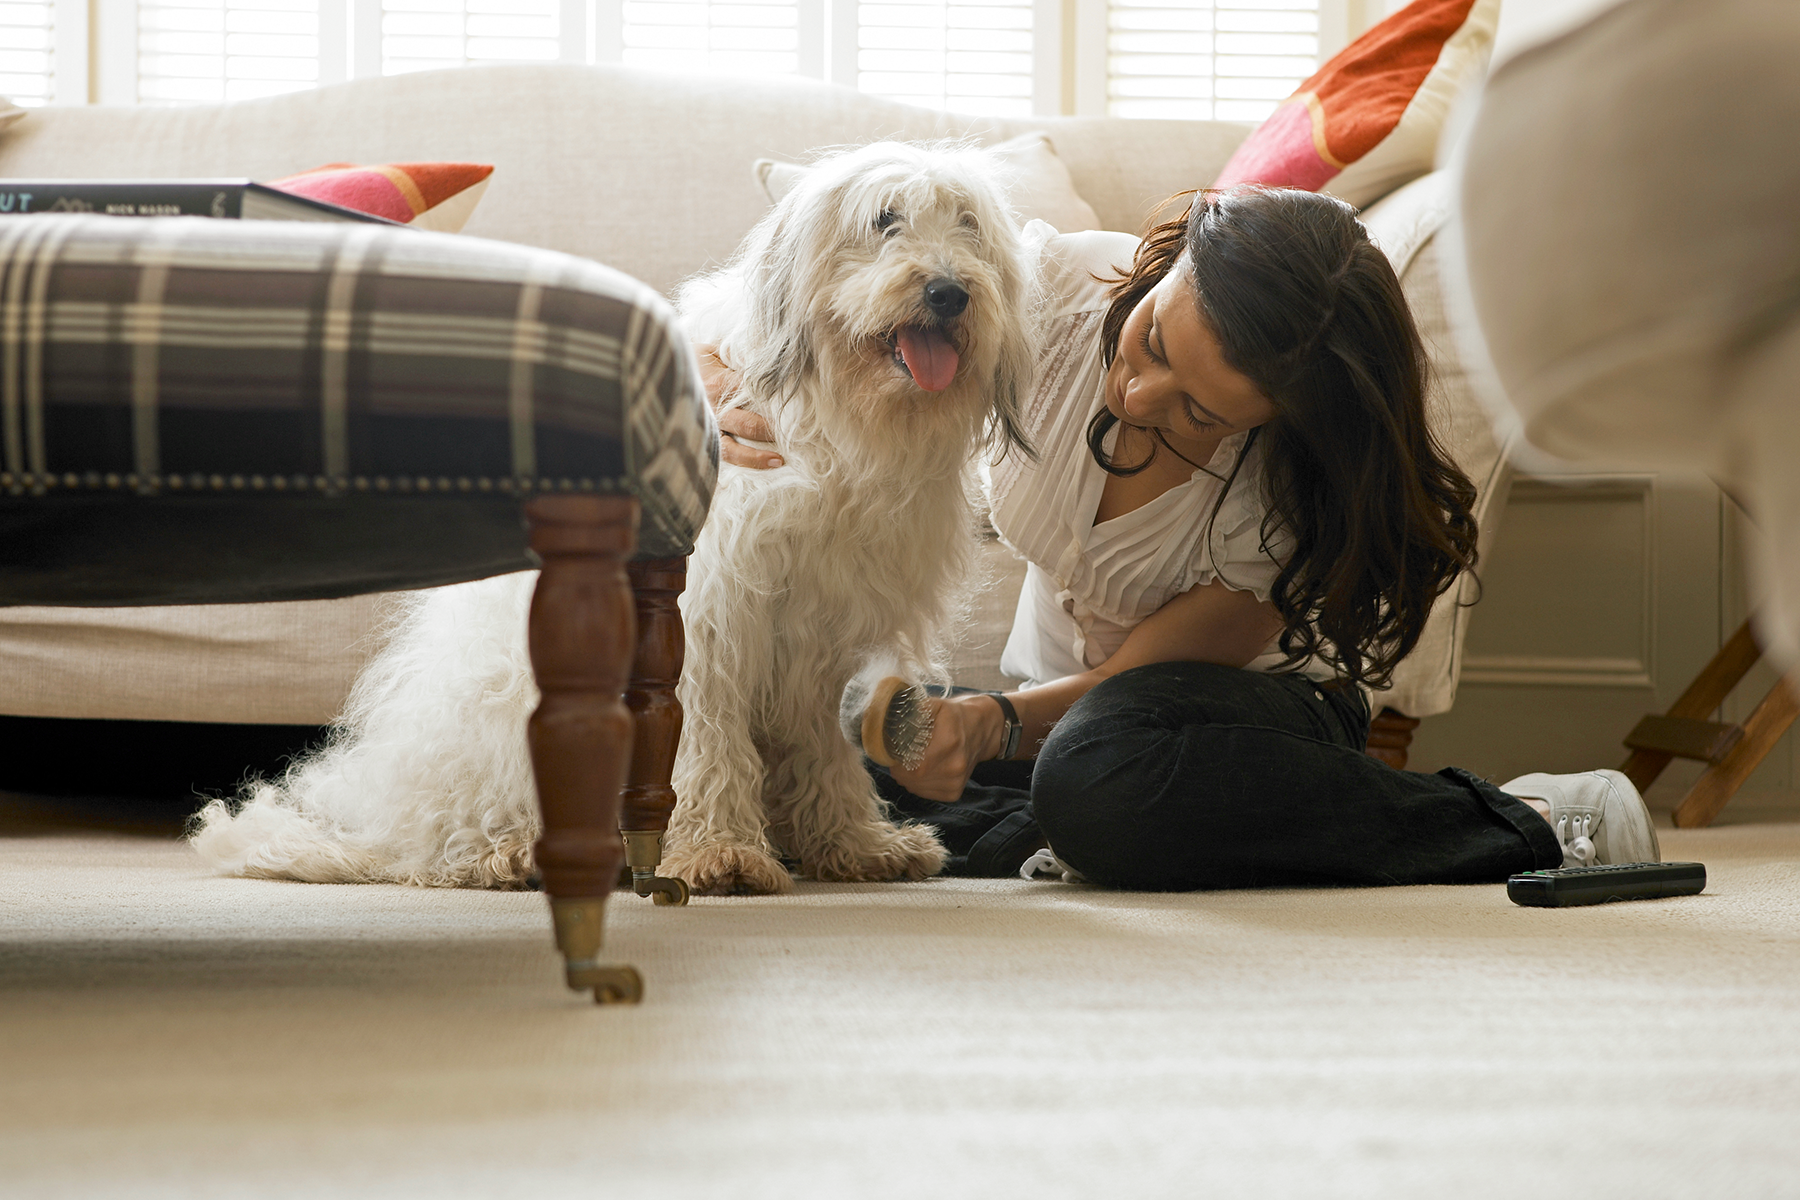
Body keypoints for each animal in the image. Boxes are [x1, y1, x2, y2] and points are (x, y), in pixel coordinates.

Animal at [188, 141, 1036, 895]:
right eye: (885, 219)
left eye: (968, 226)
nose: (949, 293)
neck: (836, 417)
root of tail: (378, 825)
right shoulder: (711, 619)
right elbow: (704, 742)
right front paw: (720, 852)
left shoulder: (819, 635)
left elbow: (822, 748)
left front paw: (853, 843)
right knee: (451, 843)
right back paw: (506, 855)